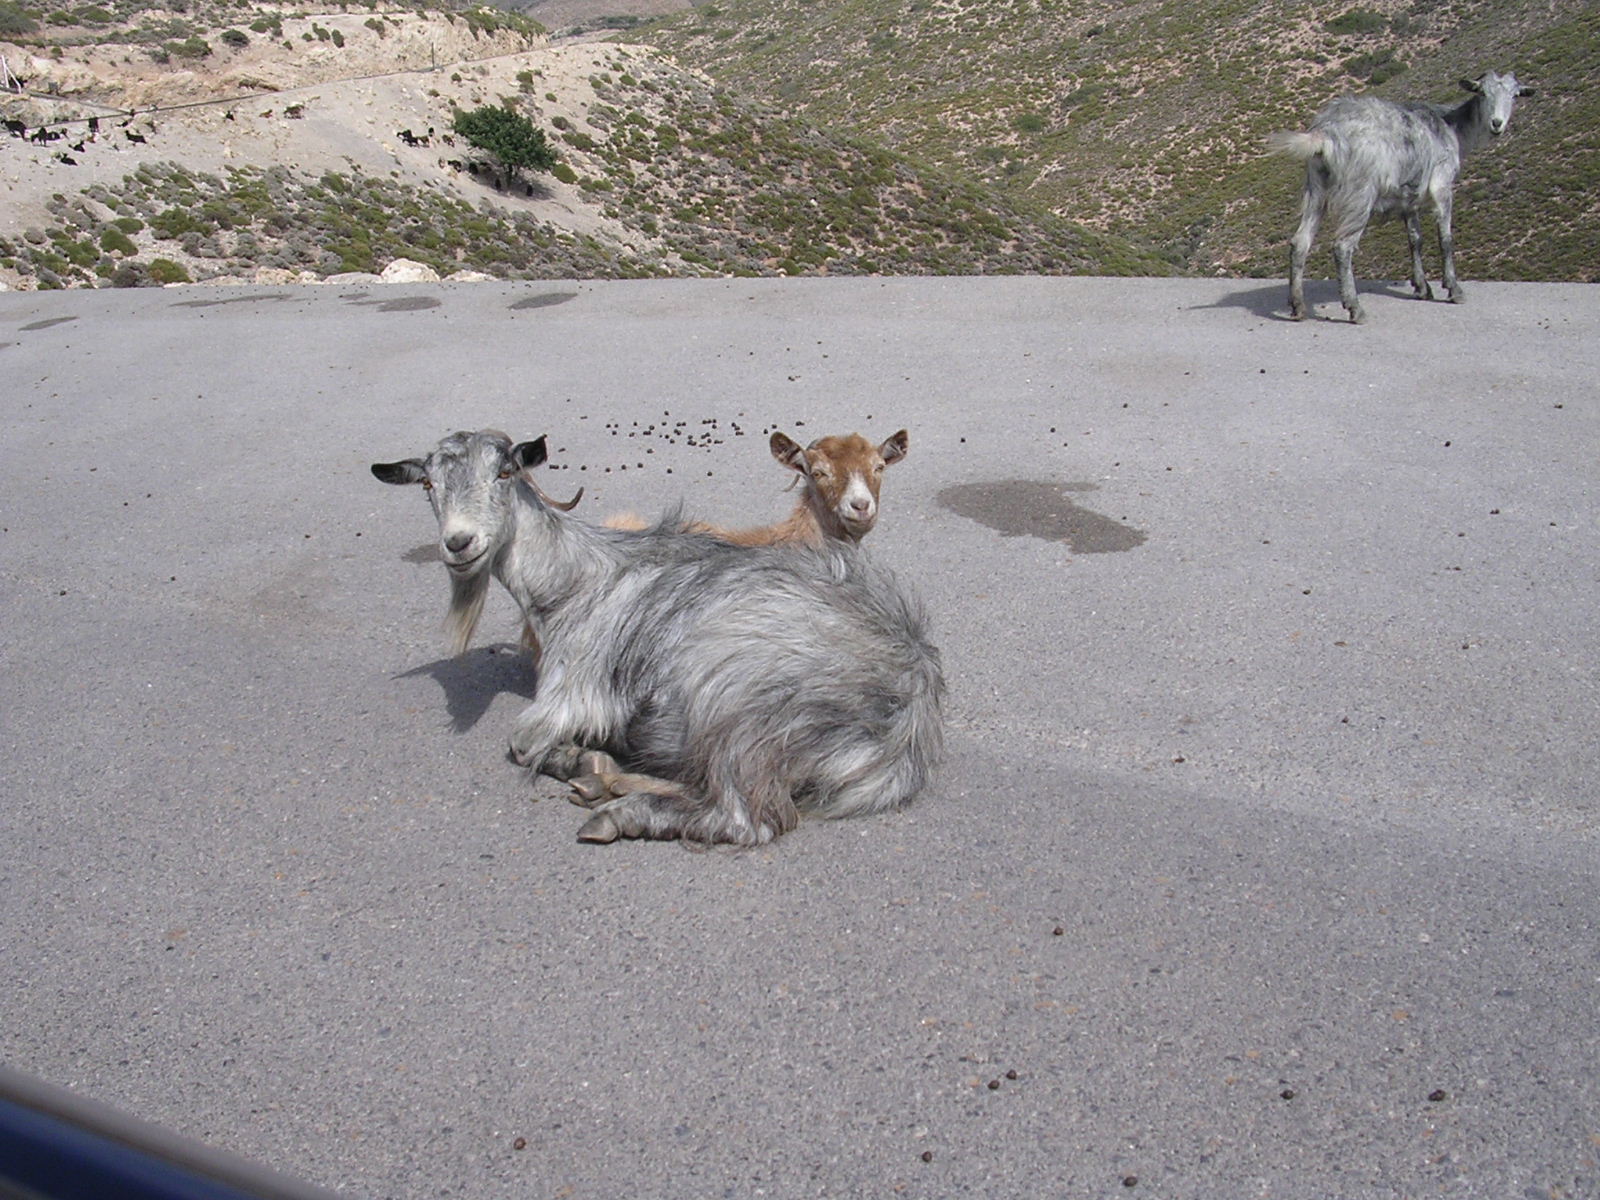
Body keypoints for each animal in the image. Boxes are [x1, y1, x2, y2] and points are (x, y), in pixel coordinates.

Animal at [1267, 70, 1529, 324]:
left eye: (1514, 96)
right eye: (1483, 93)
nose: (1497, 123)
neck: (1452, 129)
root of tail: (1325, 133)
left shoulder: (1409, 199)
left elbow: (1415, 240)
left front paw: (1422, 287)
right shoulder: (1442, 184)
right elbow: (1445, 239)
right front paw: (1454, 289)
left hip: (1316, 189)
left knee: (1300, 242)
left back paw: (1298, 307)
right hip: (1359, 194)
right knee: (1342, 247)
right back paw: (1355, 309)